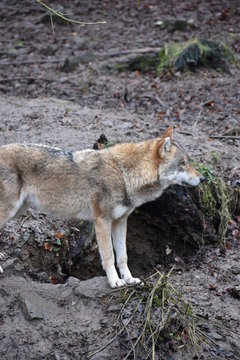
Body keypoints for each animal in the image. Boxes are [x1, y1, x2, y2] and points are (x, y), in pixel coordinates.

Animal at [0, 126, 204, 286]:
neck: (124, 174)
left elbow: (122, 256)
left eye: (188, 162)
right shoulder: (102, 221)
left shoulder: (120, 222)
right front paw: (115, 281)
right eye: (182, 164)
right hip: (10, 210)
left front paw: (129, 279)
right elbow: (109, 257)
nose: (202, 179)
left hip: (18, 210)